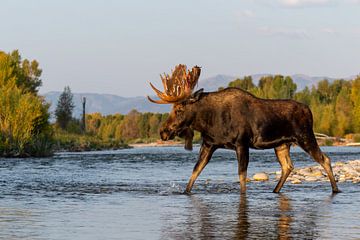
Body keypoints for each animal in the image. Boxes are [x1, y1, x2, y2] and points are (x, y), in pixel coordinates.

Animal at [147, 64, 340, 194]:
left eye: (179, 109)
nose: (163, 132)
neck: (207, 121)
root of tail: (310, 110)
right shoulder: (209, 144)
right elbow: (195, 170)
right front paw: (185, 191)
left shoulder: (242, 143)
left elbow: (241, 175)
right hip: (282, 144)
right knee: (288, 166)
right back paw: (275, 190)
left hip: (305, 136)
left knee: (325, 159)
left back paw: (336, 189)